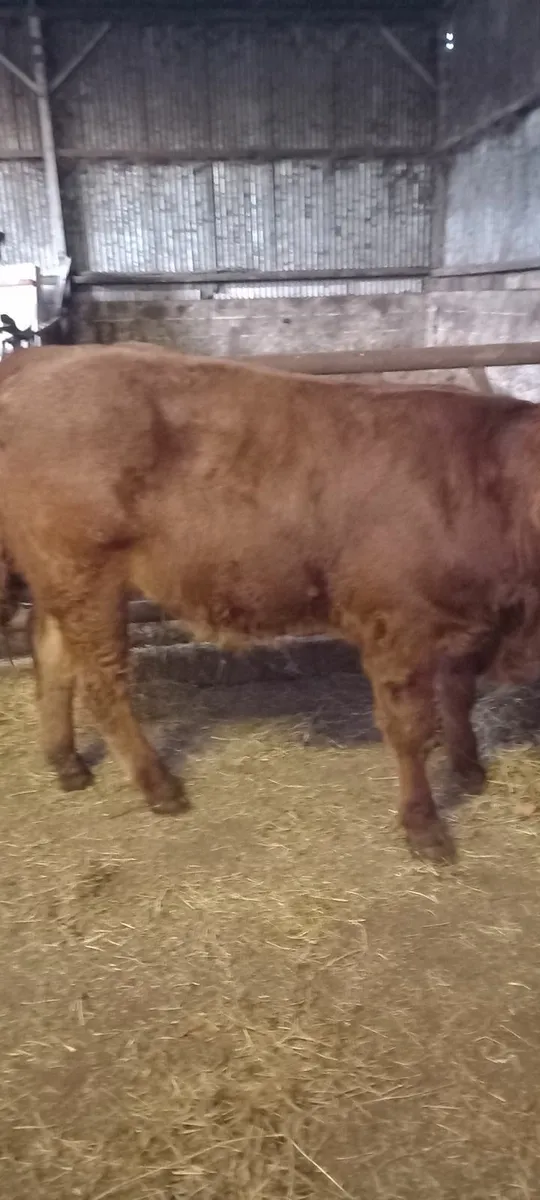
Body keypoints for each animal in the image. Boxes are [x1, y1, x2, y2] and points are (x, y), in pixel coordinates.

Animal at [0, 341, 538, 863]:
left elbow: (459, 697)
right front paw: (425, 829)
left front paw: (469, 769)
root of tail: (41, 360)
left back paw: (68, 764)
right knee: (102, 685)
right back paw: (160, 787)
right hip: (87, 578)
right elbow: (411, 730)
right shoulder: (400, 631)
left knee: (51, 656)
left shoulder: (467, 628)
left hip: (61, 580)